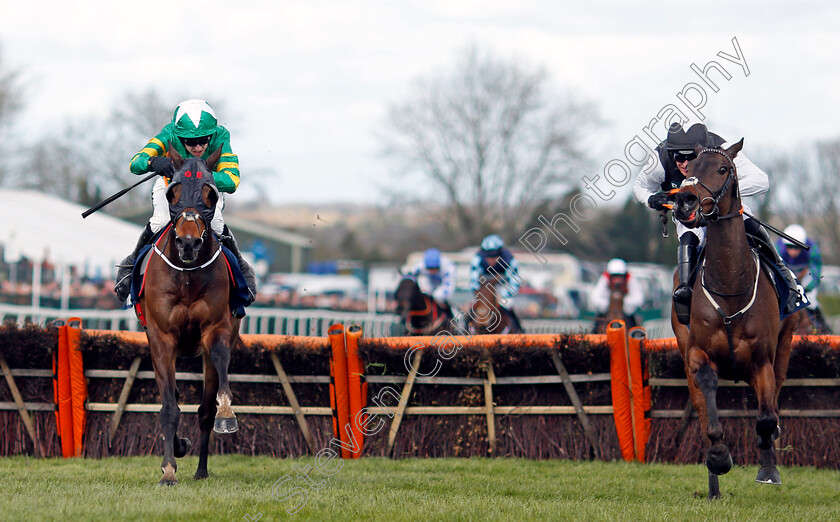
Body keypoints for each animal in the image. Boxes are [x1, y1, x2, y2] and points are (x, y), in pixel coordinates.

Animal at [139, 147, 241, 484]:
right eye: (173, 192)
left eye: (211, 193)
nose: (187, 242)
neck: (186, 274)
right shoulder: (161, 338)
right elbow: (169, 407)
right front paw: (169, 469)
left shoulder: (216, 328)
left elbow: (219, 362)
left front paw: (227, 414)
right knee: (170, 395)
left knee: (204, 410)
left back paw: (201, 469)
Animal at [668, 140, 800, 498]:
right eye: (690, 167)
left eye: (723, 168)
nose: (685, 200)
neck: (730, 287)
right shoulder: (697, 354)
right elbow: (709, 413)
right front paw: (718, 457)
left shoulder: (762, 360)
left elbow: (767, 417)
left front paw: (768, 467)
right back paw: (713, 484)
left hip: (784, 346)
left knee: (773, 402)